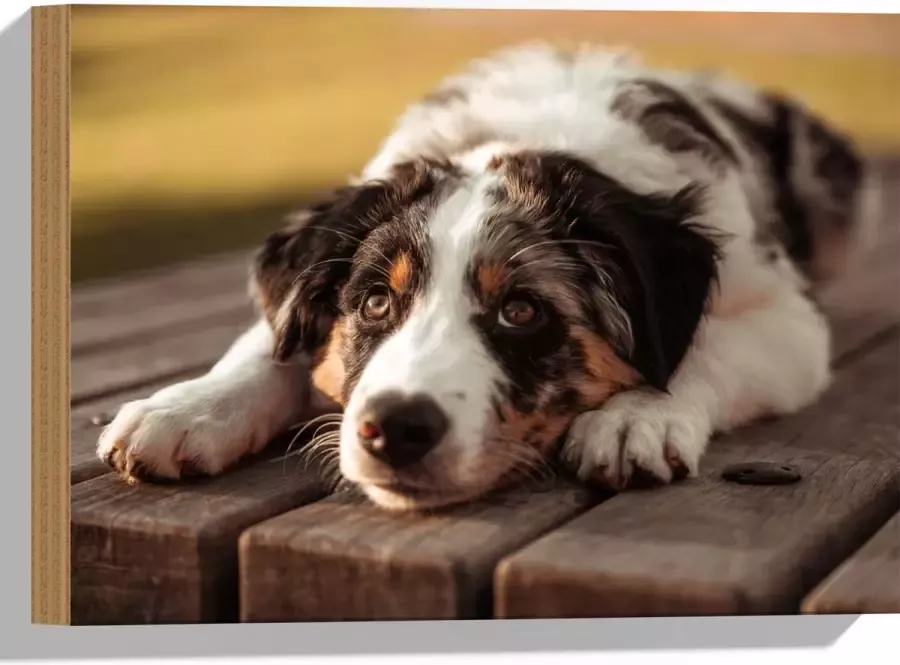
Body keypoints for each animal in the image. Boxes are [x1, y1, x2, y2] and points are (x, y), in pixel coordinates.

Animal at [96, 44, 872, 510]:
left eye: (521, 311)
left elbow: (704, 347)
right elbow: (268, 341)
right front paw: (186, 409)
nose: (394, 429)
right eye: (374, 302)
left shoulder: (788, 318)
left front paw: (635, 418)